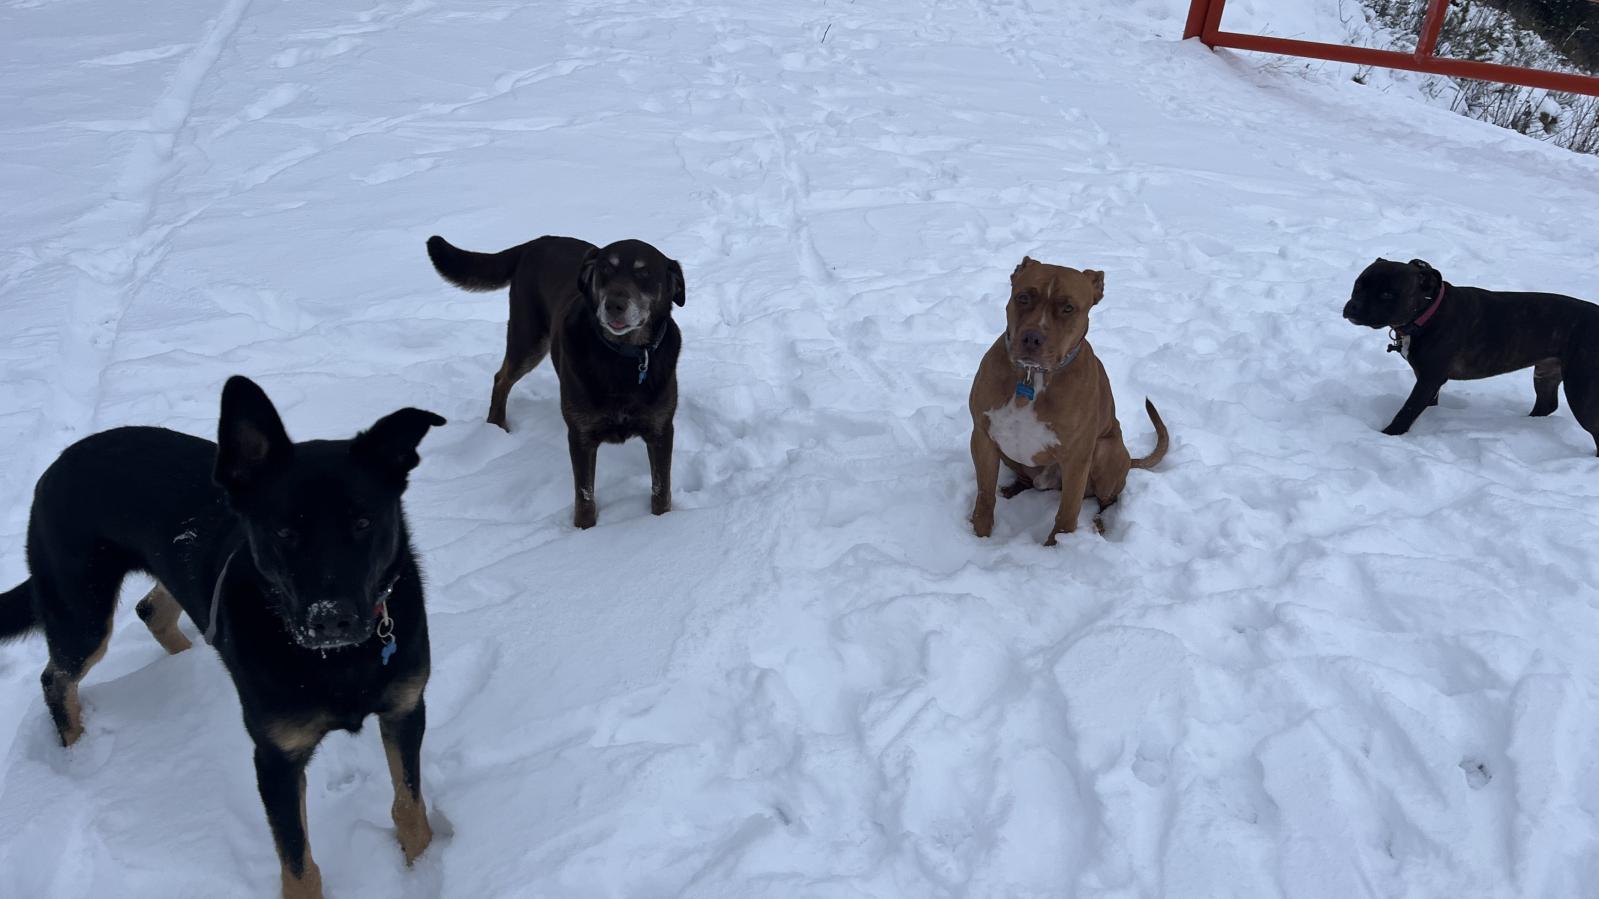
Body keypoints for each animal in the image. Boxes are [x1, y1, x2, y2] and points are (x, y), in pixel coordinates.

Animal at [0, 374, 444, 889]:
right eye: (283, 532)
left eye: (363, 521)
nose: (330, 617)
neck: (338, 660)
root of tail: (55, 466)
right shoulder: (275, 758)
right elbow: (297, 865)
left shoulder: (405, 710)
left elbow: (409, 807)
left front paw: (423, 869)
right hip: (82, 612)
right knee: (56, 677)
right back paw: (76, 752)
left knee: (151, 610)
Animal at [425, 228, 681, 524]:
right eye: (606, 268)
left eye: (644, 273)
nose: (614, 305)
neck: (621, 356)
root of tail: (538, 241)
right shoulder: (580, 435)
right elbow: (584, 497)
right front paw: (584, 529)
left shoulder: (661, 430)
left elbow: (661, 490)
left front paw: (662, 521)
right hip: (527, 337)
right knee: (501, 378)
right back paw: (496, 425)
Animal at [965, 255, 1170, 543]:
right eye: (1023, 297)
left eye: (1069, 308)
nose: (1032, 337)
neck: (1032, 376)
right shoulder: (983, 436)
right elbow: (984, 496)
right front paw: (980, 535)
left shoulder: (1077, 458)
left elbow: (1067, 514)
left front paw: (1056, 547)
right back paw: (1012, 489)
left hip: (1105, 451)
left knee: (1107, 499)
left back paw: (1100, 525)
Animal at [1343, 259, 1599, 454]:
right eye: (1358, 284)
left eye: (1387, 294)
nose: (1353, 306)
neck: (1427, 312)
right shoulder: (1427, 379)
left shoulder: (1429, 379)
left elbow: (1407, 410)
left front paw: (1387, 436)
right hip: (1546, 373)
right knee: (1546, 404)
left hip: (1581, 389)